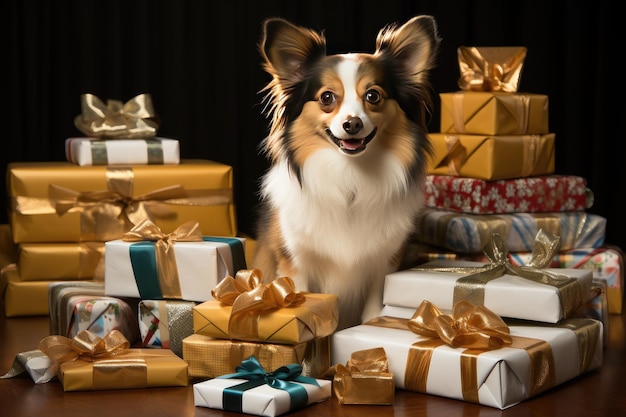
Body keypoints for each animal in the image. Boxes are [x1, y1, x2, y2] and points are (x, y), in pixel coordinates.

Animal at [252, 15, 438, 328]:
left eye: (373, 96)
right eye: (327, 97)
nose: (352, 124)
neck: (350, 176)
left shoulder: (383, 266)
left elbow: (373, 312)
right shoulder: (295, 262)